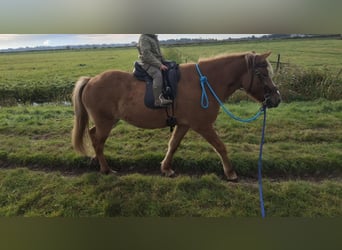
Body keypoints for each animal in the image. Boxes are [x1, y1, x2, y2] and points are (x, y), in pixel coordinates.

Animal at [71, 51, 280, 180]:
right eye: (262, 74)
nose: (277, 98)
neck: (204, 83)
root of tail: (91, 80)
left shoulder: (184, 124)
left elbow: (173, 145)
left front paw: (166, 168)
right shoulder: (203, 126)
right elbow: (221, 147)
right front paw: (230, 173)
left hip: (108, 121)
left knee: (92, 134)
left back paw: (97, 161)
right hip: (105, 122)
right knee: (98, 142)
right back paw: (106, 169)